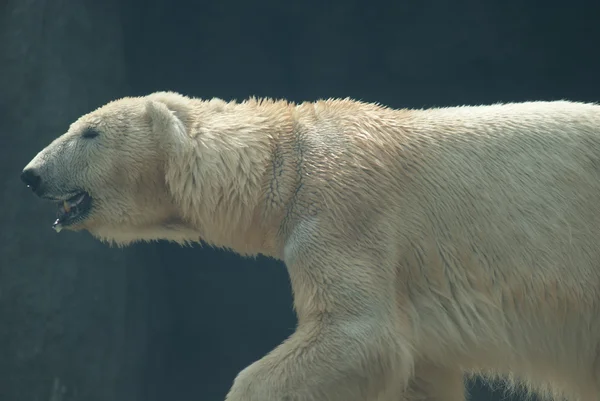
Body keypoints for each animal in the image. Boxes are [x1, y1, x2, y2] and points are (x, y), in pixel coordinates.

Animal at [21, 91, 600, 400]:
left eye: (89, 132)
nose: (30, 174)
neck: (289, 161)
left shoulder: (346, 211)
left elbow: (358, 333)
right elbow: (418, 368)